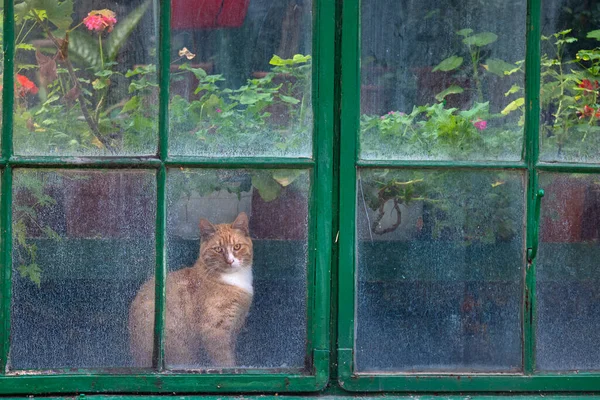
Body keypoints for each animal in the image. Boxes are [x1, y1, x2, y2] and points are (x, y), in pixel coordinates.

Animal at [128, 214, 253, 368]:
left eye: (237, 247)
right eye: (218, 249)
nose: (230, 261)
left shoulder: (234, 329)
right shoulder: (214, 330)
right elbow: (224, 360)